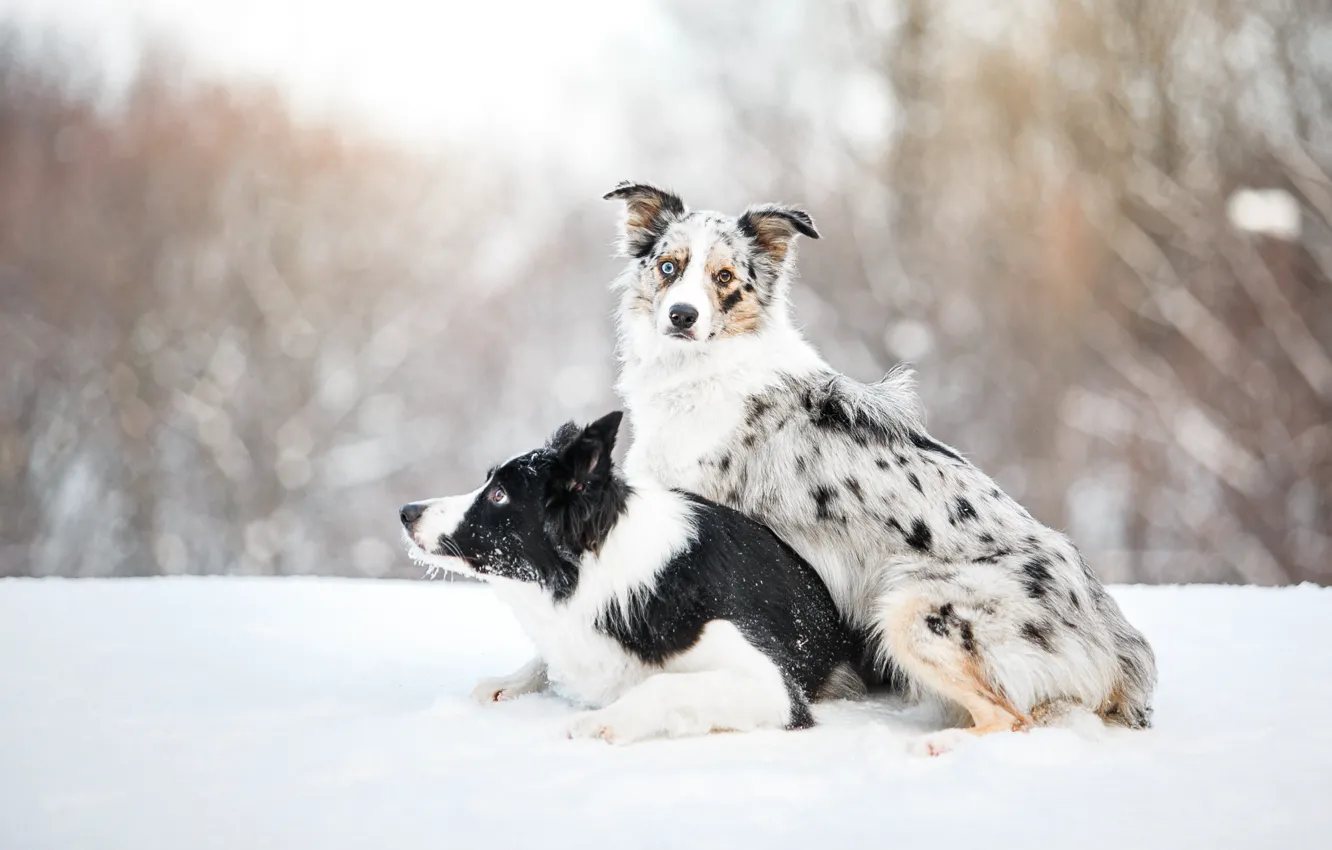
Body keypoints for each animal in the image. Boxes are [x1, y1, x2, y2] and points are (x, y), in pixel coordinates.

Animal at [394, 413, 863, 746]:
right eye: (489, 484)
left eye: (498, 495)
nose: (406, 511)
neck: (600, 571)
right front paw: (511, 681)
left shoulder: (774, 686)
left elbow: (663, 685)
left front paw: (606, 720)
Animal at [604, 183, 1156, 756]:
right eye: (668, 266)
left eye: (725, 277)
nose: (682, 316)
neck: (703, 370)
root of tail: (1120, 648)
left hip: (911, 609)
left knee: (1012, 717)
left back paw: (936, 745)